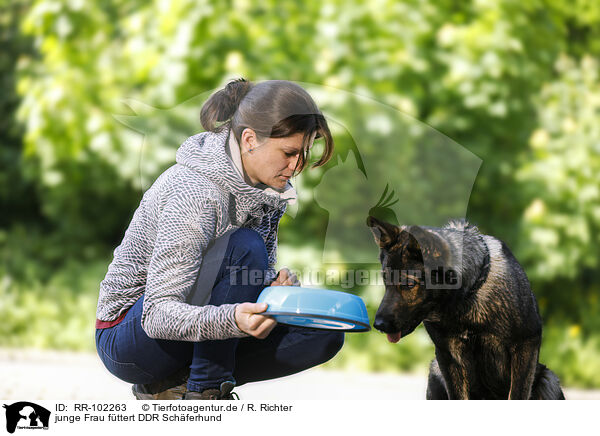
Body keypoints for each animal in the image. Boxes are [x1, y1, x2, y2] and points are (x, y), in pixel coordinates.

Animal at [368, 216, 564, 400]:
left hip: (549, 380)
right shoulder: (448, 357)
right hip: (435, 372)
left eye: (409, 284)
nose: (378, 325)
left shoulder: (525, 345)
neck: (466, 298)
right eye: (385, 281)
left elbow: (516, 394)